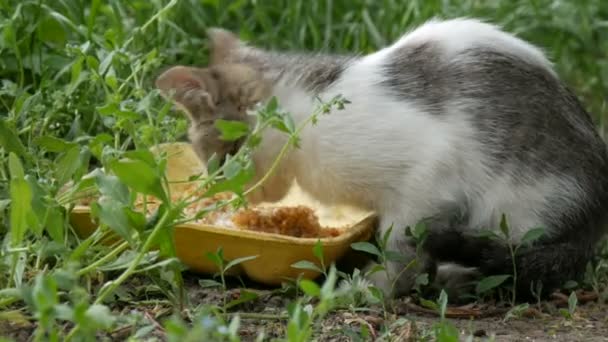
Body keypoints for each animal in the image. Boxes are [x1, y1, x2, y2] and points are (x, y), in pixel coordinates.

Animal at [156, 18, 608, 300]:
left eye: (217, 160)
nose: (229, 196)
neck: (301, 118)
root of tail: (592, 223)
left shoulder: (428, 175)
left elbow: (401, 244)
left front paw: (372, 288)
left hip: (522, 204)